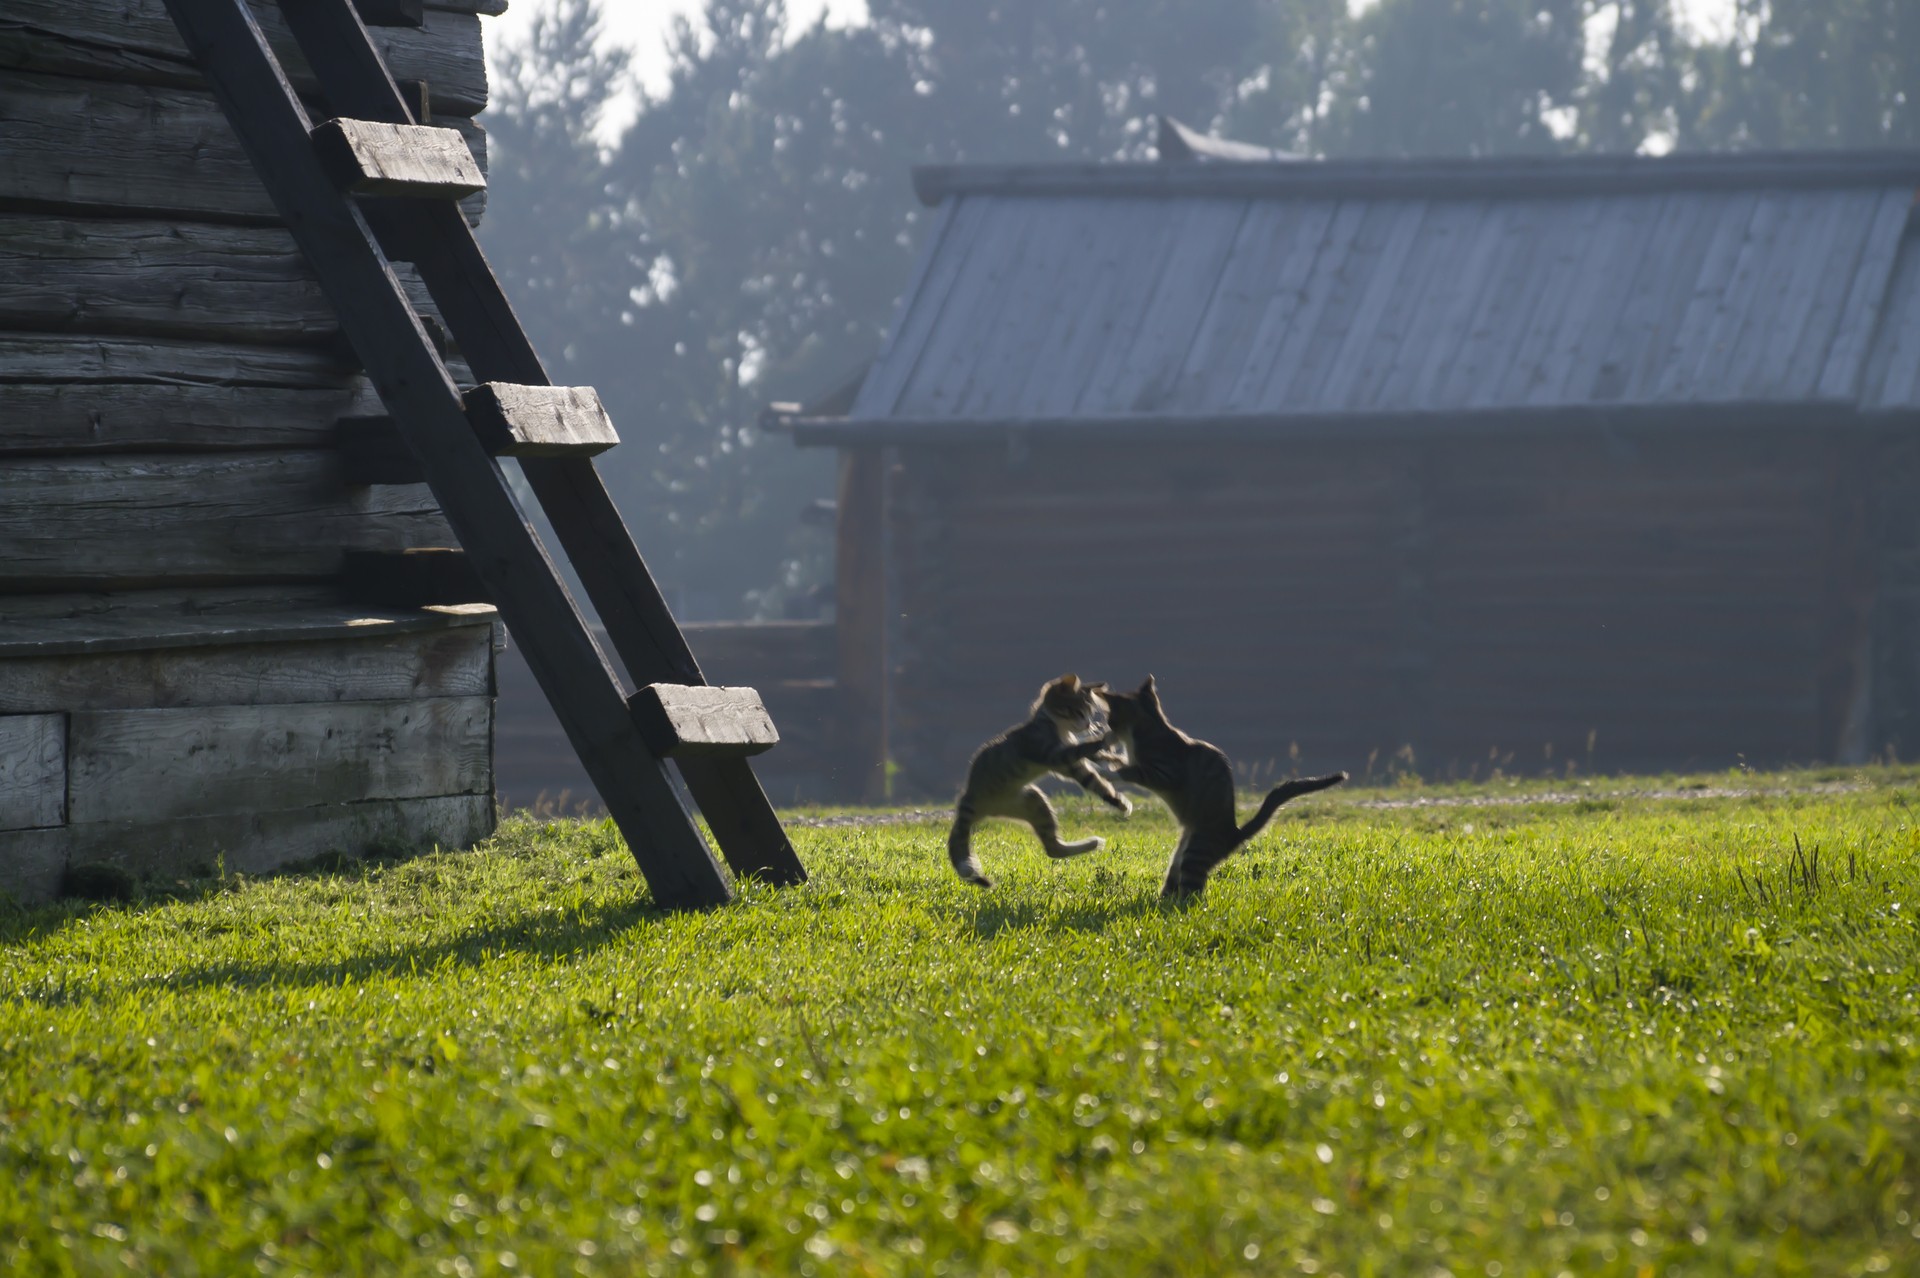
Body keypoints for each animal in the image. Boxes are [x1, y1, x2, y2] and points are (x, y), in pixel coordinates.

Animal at [948, 667, 1128, 886]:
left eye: (1091, 713)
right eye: (1079, 712)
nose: (1088, 725)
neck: (1059, 729)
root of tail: (971, 797)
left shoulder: (1070, 765)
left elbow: (1095, 780)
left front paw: (1117, 782)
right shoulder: (1051, 753)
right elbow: (1083, 749)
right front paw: (1108, 738)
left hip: (1032, 802)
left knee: (1053, 849)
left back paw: (1092, 843)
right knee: (1052, 849)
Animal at [1098, 675, 1351, 894]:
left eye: (1110, 720)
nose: (1105, 731)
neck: (1148, 728)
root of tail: (1234, 834)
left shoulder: (1165, 771)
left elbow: (1132, 770)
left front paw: (1105, 772)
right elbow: (1122, 760)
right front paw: (1102, 757)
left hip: (1197, 848)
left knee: (1192, 890)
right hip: (1183, 849)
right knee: (1175, 875)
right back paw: (1163, 902)